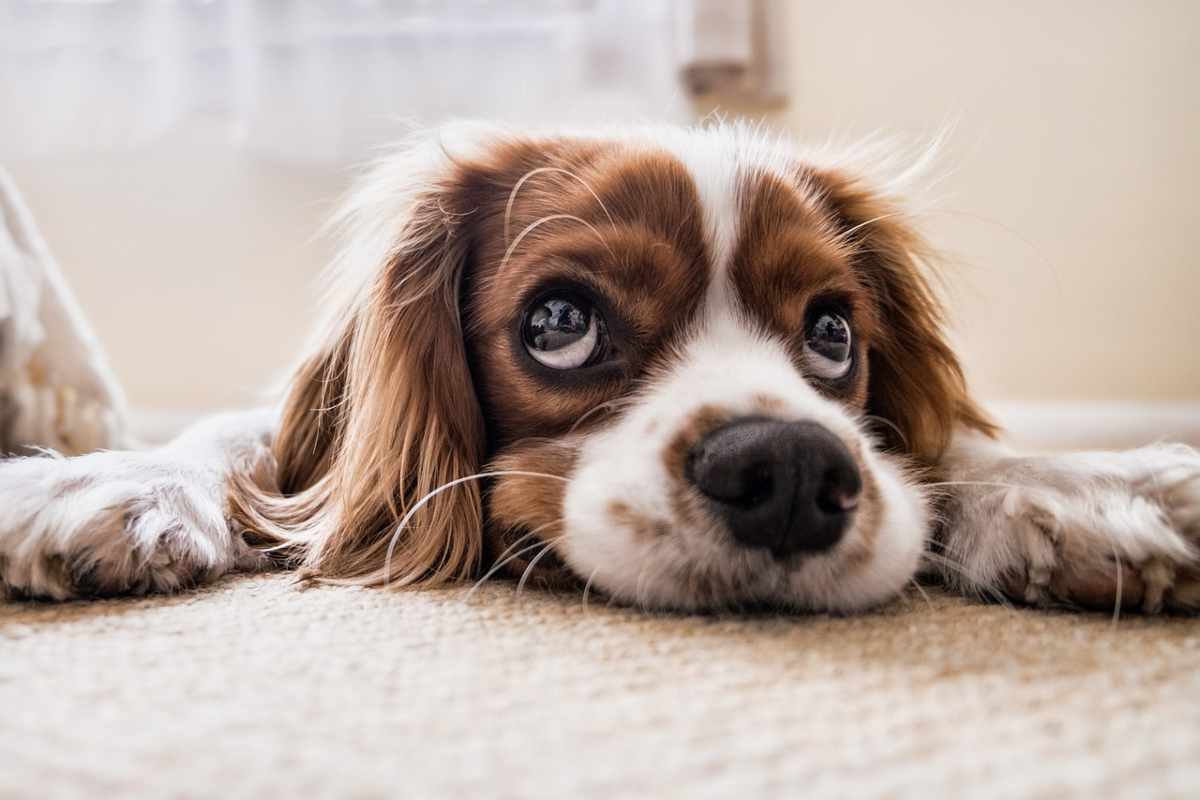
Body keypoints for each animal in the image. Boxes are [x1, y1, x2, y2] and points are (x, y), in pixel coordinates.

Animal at [2, 123, 1200, 614]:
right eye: (560, 322)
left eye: (832, 334)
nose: (791, 470)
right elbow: (239, 441)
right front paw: (105, 480)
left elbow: (950, 450)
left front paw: (1085, 487)